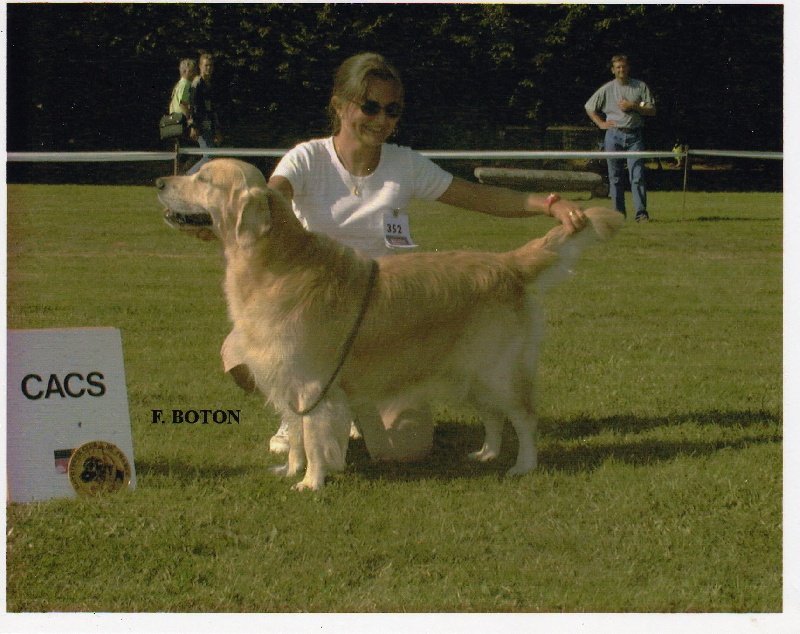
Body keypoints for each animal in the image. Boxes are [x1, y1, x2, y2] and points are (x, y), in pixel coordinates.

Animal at [155, 157, 620, 488]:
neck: (274, 264)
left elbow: (314, 436)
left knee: (524, 417)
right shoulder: (286, 379)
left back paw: (523, 466)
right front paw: (290, 470)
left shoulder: (312, 382)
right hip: (468, 372)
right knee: (493, 416)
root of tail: (506, 262)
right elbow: (297, 438)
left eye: (203, 179)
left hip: (498, 368)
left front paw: (311, 482)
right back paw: (486, 454)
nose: (159, 183)